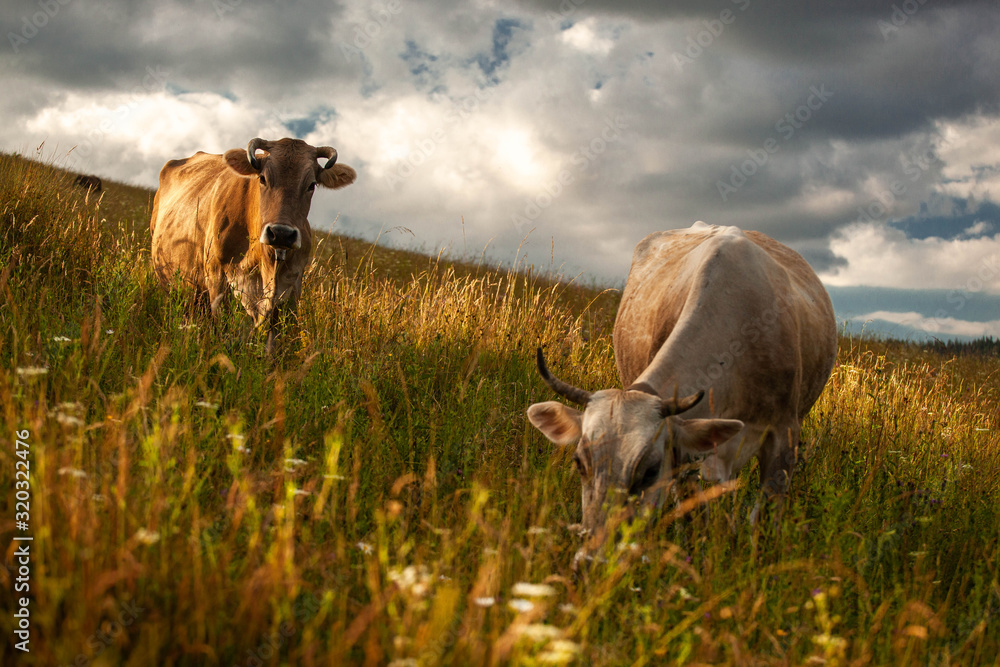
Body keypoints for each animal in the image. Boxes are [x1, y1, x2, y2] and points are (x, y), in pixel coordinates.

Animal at [528, 222, 840, 540]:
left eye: (650, 470)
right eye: (579, 462)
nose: (596, 546)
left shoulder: (784, 434)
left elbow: (765, 520)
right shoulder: (686, 451)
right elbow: (695, 518)